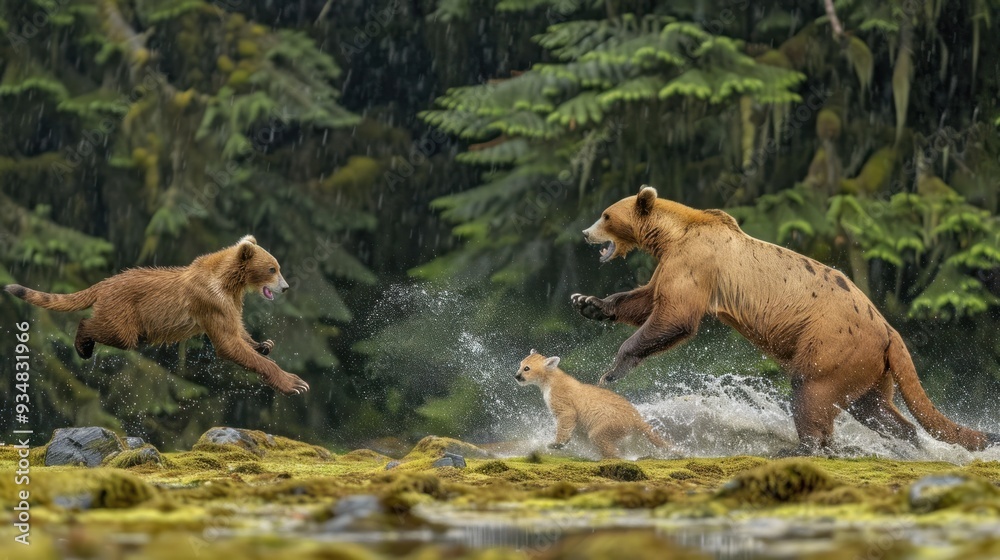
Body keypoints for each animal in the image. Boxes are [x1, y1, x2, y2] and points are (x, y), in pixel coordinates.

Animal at [4, 235, 309, 395]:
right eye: (272, 268)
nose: (285, 286)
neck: (230, 282)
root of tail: (105, 282)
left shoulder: (230, 303)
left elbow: (237, 331)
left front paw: (263, 344)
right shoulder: (209, 301)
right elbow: (227, 343)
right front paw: (295, 383)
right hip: (125, 312)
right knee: (113, 332)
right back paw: (83, 345)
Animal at [516, 349, 670, 458]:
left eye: (527, 368)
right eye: (520, 365)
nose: (516, 376)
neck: (550, 381)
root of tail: (636, 416)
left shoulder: (564, 405)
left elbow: (565, 421)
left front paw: (556, 444)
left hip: (606, 425)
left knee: (605, 443)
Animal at [570, 185, 999, 453]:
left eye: (606, 215)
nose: (585, 232)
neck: (672, 236)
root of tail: (891, 331)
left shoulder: (697, 264)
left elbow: (674, 317)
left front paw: (614, 369)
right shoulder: (673, 265)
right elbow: (644, 299)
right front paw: (587, 302)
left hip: (833, 344)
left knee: (811, 391)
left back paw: (802, 446)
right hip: (871, 366)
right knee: (874, 408)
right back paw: (909, 440)